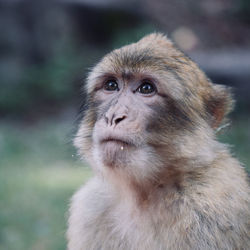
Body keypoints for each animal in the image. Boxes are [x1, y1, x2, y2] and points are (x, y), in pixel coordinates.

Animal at [67, 33, 250, 250]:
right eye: (111, 85)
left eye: (146, 88)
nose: (113, 117)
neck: (143, 194)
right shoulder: (90, 208)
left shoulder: (212, 210)